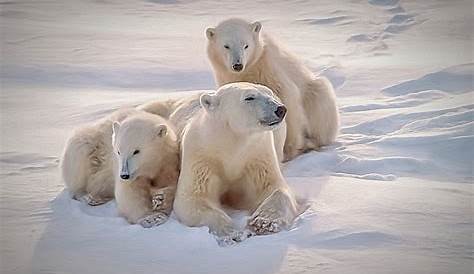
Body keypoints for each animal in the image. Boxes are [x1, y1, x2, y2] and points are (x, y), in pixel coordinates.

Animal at [171, 82, 300, 245]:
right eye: (249, 97)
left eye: (269, 93)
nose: (280, 109)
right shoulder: (202, 156)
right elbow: (194, 197)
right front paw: (231, 233)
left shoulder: (257, 155)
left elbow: (274, 189)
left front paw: (263, 223)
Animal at [206, 18, 338, 162]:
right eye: (226, 46)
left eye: (246, 45)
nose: (237, 65)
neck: (250, 70)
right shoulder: (228, 78)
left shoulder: (270, 70)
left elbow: (288, 100)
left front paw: (288, 150)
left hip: (315, 93)